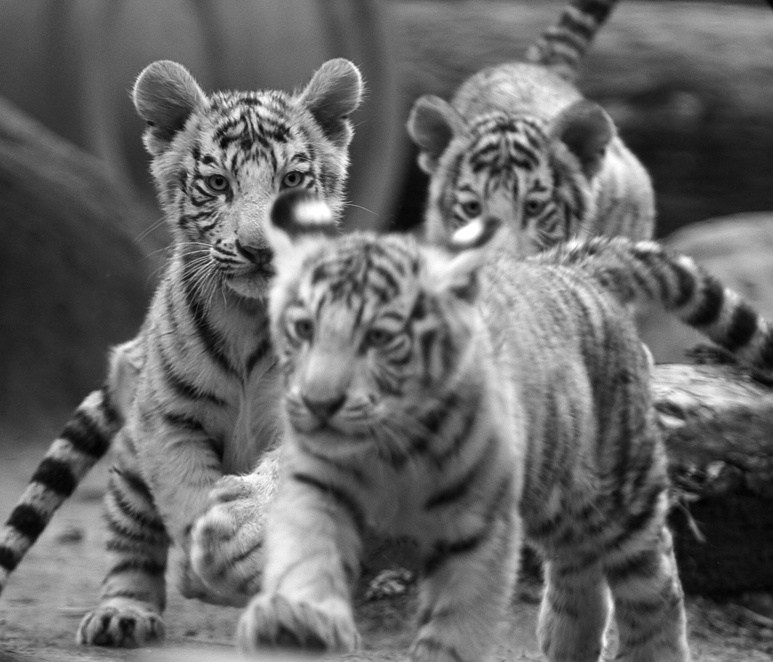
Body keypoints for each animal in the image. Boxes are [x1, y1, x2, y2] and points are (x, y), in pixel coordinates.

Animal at [0, 57, 363, 647]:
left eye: (291, 180)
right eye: (218, 183)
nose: (259, 250)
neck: (247, 317)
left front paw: (240, 553)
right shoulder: (168, 418)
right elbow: (185, 491)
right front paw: (206, 567)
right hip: (129, 465)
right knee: (129, 542)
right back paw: (121, 613)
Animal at [234, 189, 773, 662]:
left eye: (380, 338)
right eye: (304, 329)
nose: (319, 402)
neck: (388, 444)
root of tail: (571, 268)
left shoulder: (479, 522)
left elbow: (458, 619)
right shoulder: (317, 485)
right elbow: (306, 552)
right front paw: (296, 618)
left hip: (623, 482)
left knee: (652, 572)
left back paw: (651, 650)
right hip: (558, 487)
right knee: (578, 563)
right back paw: (566, 642)